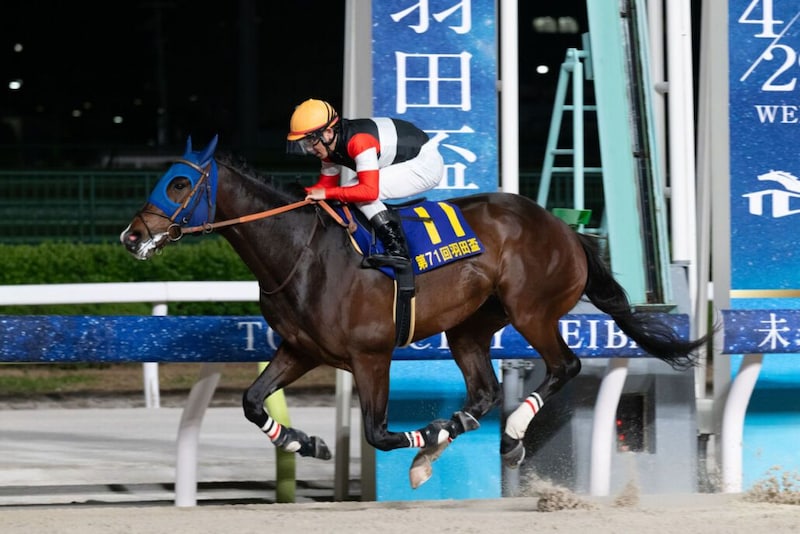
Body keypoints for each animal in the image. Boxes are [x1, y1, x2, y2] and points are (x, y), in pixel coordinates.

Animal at [120, 135, 708, 488]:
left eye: (178, 182)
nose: (131, 236)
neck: (299, 252)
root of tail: (563, 227)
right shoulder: (302, 349)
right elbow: (250, 401)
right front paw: (305, 442)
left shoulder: (370, 354)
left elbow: (379, 433)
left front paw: (420, 446)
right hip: (470, 327)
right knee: (483, 391)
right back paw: (461, 434)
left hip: (532, 311)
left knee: (564, 365)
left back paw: (508, 437)